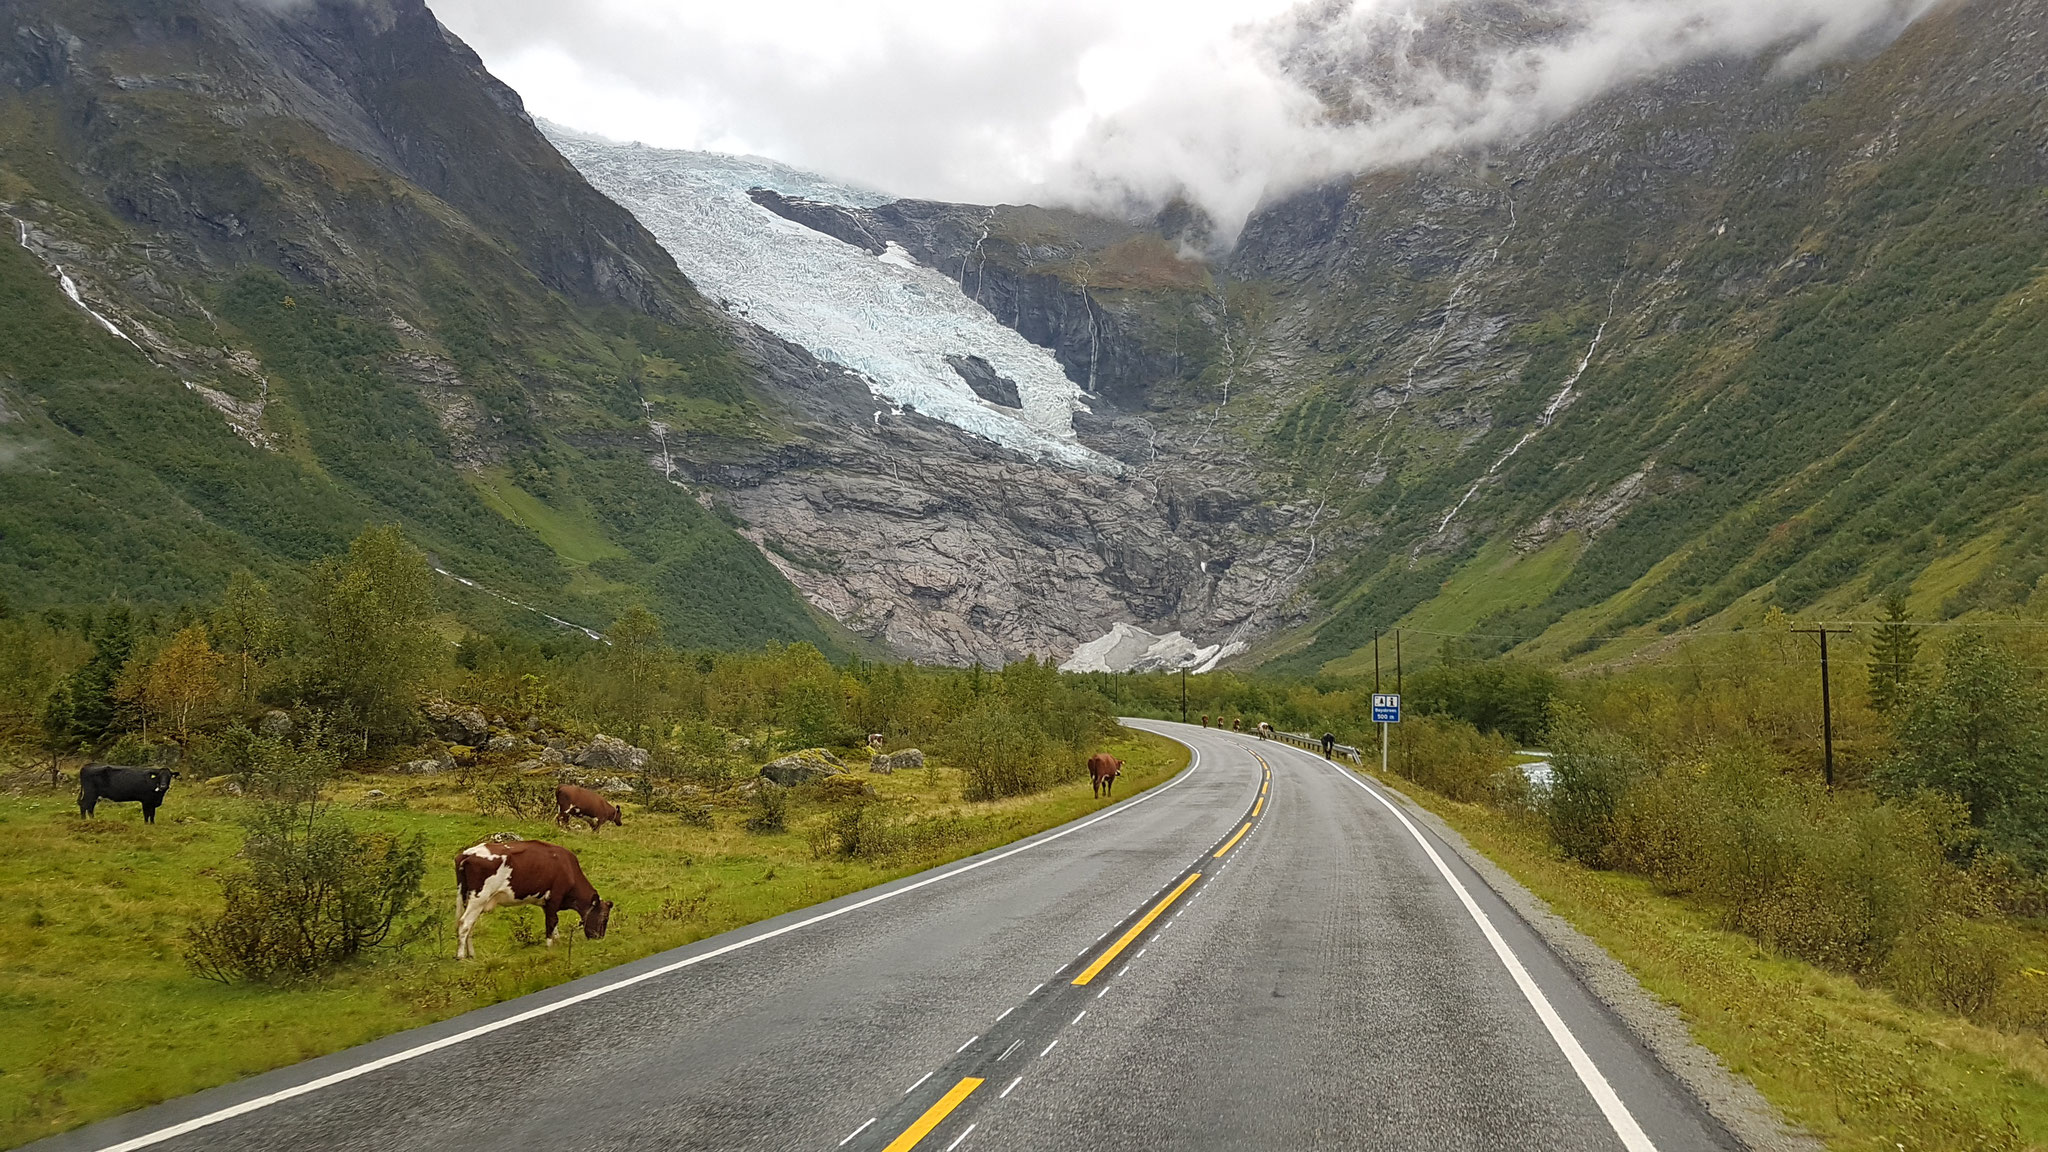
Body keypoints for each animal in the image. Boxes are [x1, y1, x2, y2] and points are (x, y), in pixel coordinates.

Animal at [462, 832, 614, 959]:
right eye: (605, 918)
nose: (600, 938)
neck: (569, 870)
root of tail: (467, 853)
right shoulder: (554, 898)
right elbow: (551, 921)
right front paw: (550, 946)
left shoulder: (546, 904)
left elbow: (554, 923)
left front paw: (557, 940)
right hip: (478, 899)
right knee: (464, 923)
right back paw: (461, 957)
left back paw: (470, 955)